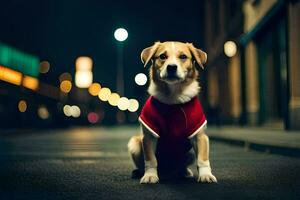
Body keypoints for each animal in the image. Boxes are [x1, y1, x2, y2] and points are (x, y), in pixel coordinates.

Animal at [127, 41, 217, 184]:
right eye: (162, 56)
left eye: (183, 56)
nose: (172, 67)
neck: (174, 97)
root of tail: (168, 172)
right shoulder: (149, 136)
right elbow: (151, 160)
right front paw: (150, 175)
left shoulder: (200, 135)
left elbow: (203, 159)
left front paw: (206, 175)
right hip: (134, 144)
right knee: (144, 164)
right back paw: (140, 172)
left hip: (190, 153)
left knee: (180, 166)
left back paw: (183, 172)